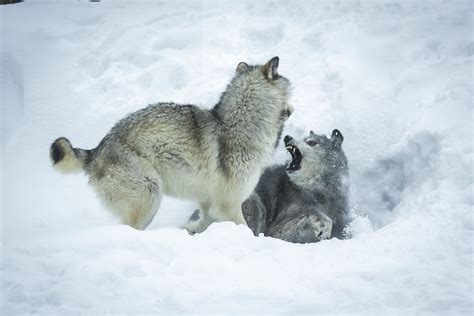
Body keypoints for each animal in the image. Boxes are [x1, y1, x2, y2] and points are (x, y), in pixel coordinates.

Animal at [49, 56, 292, 230]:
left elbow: (204, 222)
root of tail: (96, 150)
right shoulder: (228, 206)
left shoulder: (209, 204)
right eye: (291, 91)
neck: (242, 125)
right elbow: (245, 229)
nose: (292, 109)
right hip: (150, 195)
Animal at [188, 128, 348, 242]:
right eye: (306, 140)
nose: (287, 137)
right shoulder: (279, 225)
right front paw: (322, 228)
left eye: (311, 142)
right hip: (253, 204)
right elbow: (319, 216)